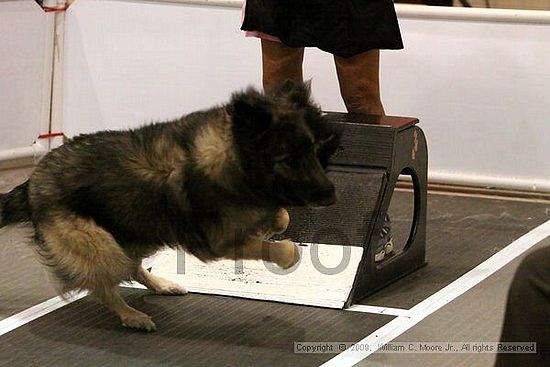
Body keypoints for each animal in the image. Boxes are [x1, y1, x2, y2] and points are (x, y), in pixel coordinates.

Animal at [0, 81, 340, 334]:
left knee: (132, 266)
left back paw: (162, 285)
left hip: (139, 229)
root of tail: (32, 183)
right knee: (104, 285)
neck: (229, 156)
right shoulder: (217, 243)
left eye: (312, 149)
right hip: (101, 246)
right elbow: (275, 247)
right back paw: (131, 315)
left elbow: (282, 216)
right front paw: (285, 253)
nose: (331, 196)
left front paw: (271, 224)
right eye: (287, 160)